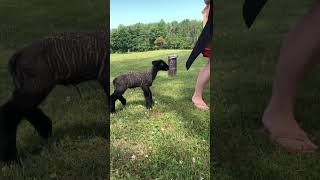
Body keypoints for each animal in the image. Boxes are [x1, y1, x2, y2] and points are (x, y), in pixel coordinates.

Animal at [0, 30, 109, 162]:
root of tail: (18, 55)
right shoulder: (104, 76)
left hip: (28, 86)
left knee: (22, 108)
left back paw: (45, 129)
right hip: (36, 86)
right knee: (10, 112)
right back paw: (11, 159)